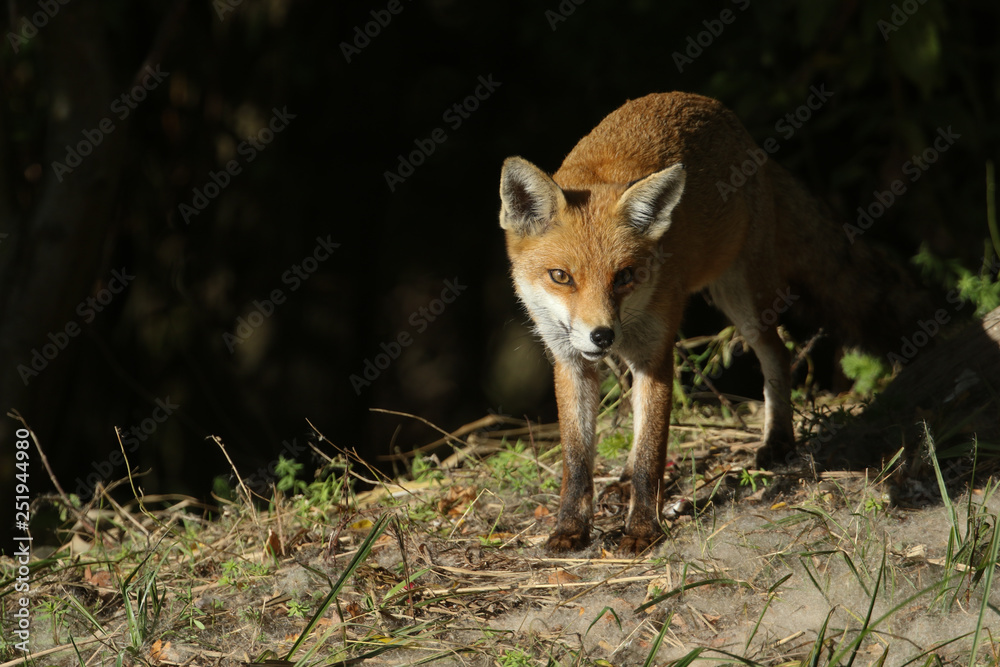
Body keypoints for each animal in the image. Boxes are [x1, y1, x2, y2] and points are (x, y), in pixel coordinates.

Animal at [498, 94, 928, 552]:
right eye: (561, 277)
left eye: (625, 276)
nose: (602, 336)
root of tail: (731, 122)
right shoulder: (570, 361)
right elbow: (578, 461)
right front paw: (569, 529)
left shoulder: (656, 355)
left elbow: (651, 452)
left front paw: (642, 530)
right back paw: (625, 477)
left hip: (742, 300)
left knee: (778, 354)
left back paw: (778, 441)